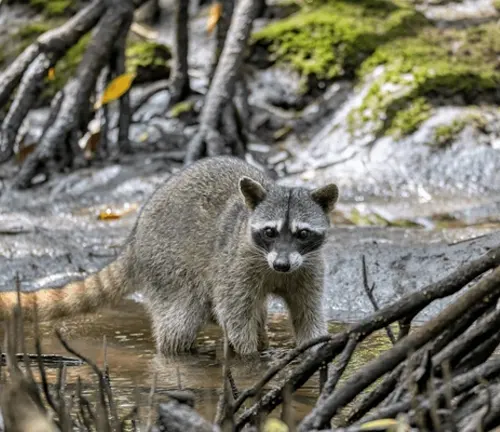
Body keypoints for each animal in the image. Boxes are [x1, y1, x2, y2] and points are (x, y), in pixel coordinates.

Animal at [0, 157, 338, 356]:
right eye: (269, 232)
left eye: (302, 233)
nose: (281, 264)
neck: (275, 267)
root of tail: (135, 238)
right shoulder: (237, 263)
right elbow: (234, 311)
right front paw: (250, 357)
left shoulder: (308, 267)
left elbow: (308, 311)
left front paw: (313, 350)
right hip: (168, 266)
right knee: (181, 321)